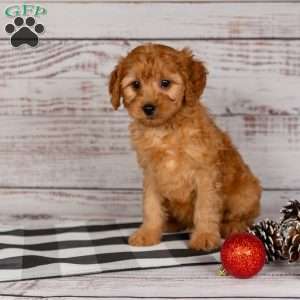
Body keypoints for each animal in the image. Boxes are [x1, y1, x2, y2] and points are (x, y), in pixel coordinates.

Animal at [108, 44, 260, 251]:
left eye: (165, 83)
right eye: (136, 85)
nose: (148, 108)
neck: (165, 130)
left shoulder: (206, 173)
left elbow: (205, 207)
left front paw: (204, 236)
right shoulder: (151, 173)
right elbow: (151, 206)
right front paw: (148, 233)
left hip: (247, 193)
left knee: (245, 217)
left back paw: (233, 226)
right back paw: (169, 223)